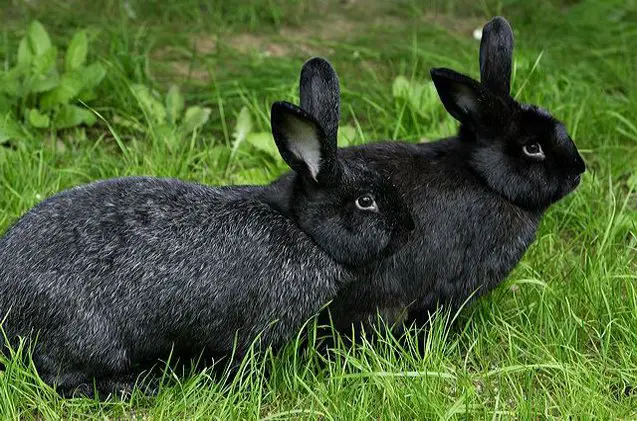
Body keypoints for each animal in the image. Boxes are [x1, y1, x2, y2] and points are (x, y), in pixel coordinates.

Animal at [0, 78, 412, 398]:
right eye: (365, 201)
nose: (408, 227)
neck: (300, 228)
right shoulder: (248, 331)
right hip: (93, 338)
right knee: (61, 377)